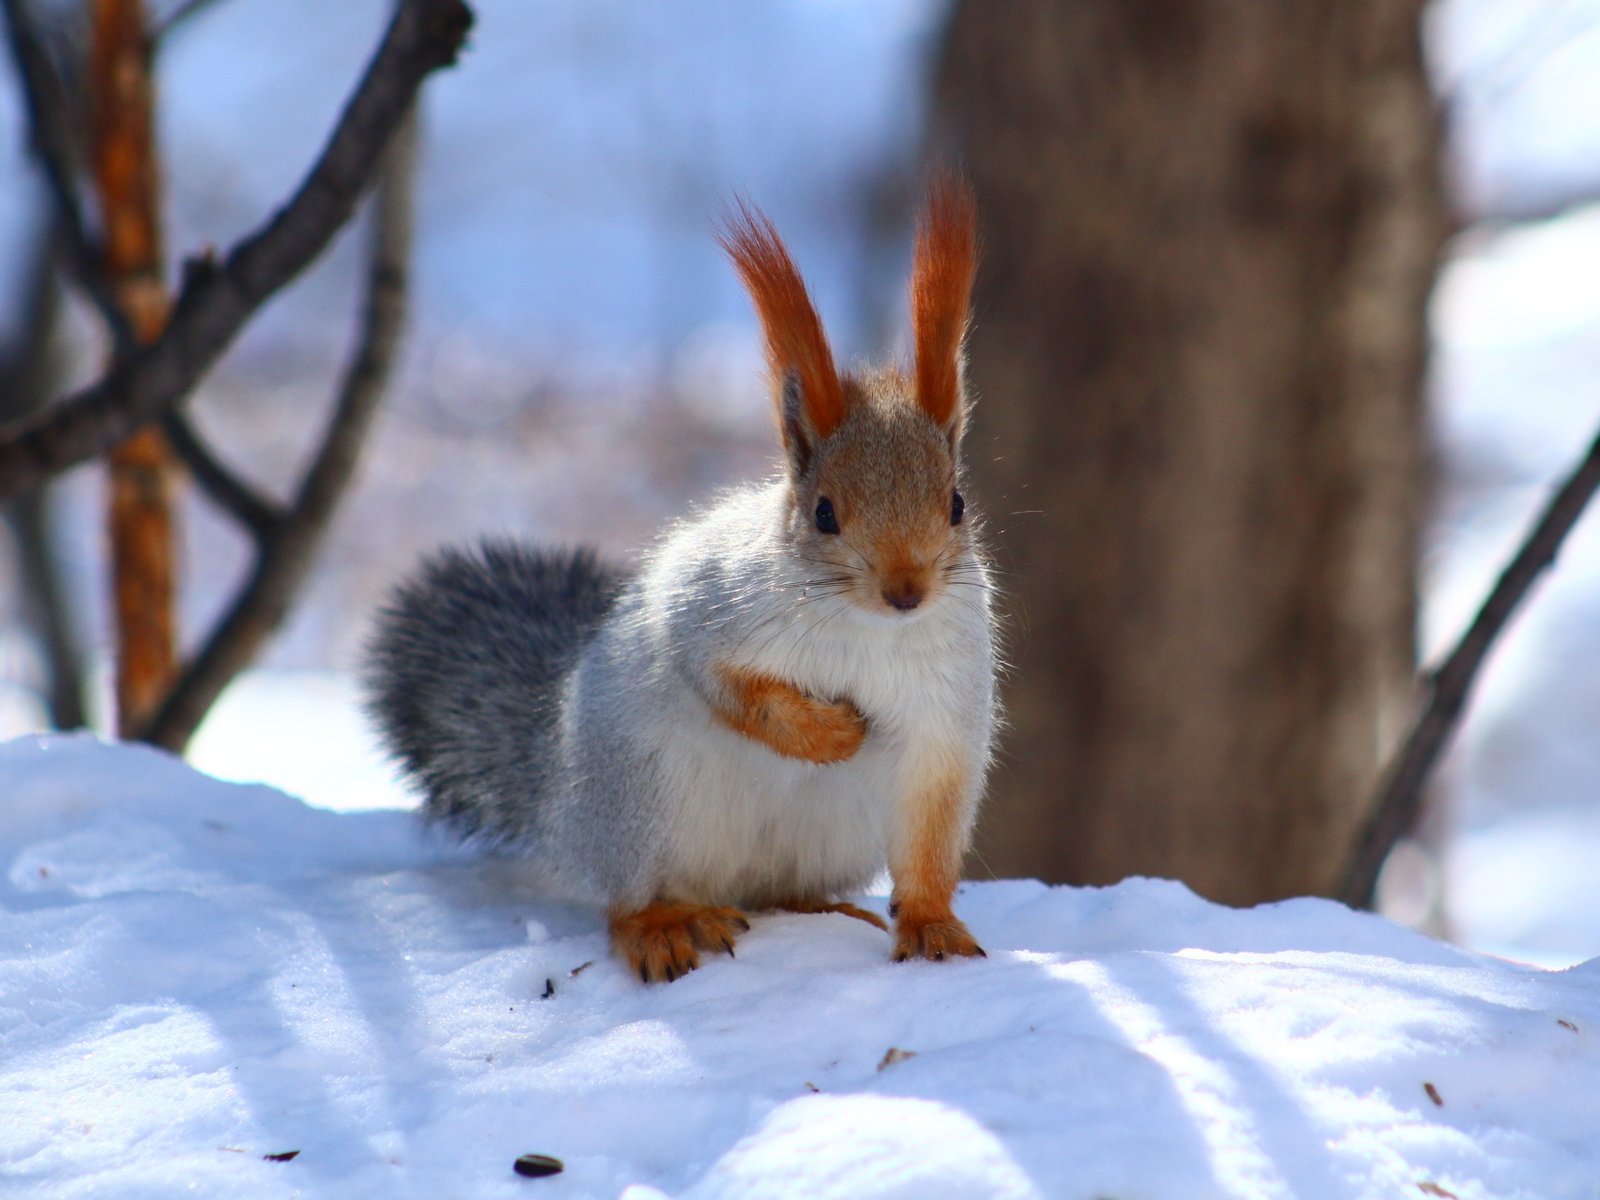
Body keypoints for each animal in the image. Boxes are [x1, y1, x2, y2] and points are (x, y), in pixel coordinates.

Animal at [366, 178, 992, 985]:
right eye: (824, 513)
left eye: (957, 503)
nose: (906, 591)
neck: (868, 629)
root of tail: (566, 804)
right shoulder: (710, 610)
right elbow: (726, 685)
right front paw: (829, 734)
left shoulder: (946, 716)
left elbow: (931, 833)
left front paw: (932, 924)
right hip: (646, 800)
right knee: (628, 902)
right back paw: (661, 926)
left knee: (779, 892)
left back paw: (823, 908)